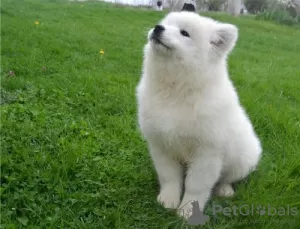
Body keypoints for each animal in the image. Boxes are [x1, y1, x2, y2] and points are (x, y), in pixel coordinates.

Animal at [135, 11, 262, 219]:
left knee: (226, 178)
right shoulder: (161, 145)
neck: (176, 91)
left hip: (242, 159)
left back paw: (225, 190)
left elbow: (196, 186)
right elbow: (169, 177)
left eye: (184, 33)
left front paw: (187, 211)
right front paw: (168, 201)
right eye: (164, 23)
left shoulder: (207, 153)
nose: (157, 28)